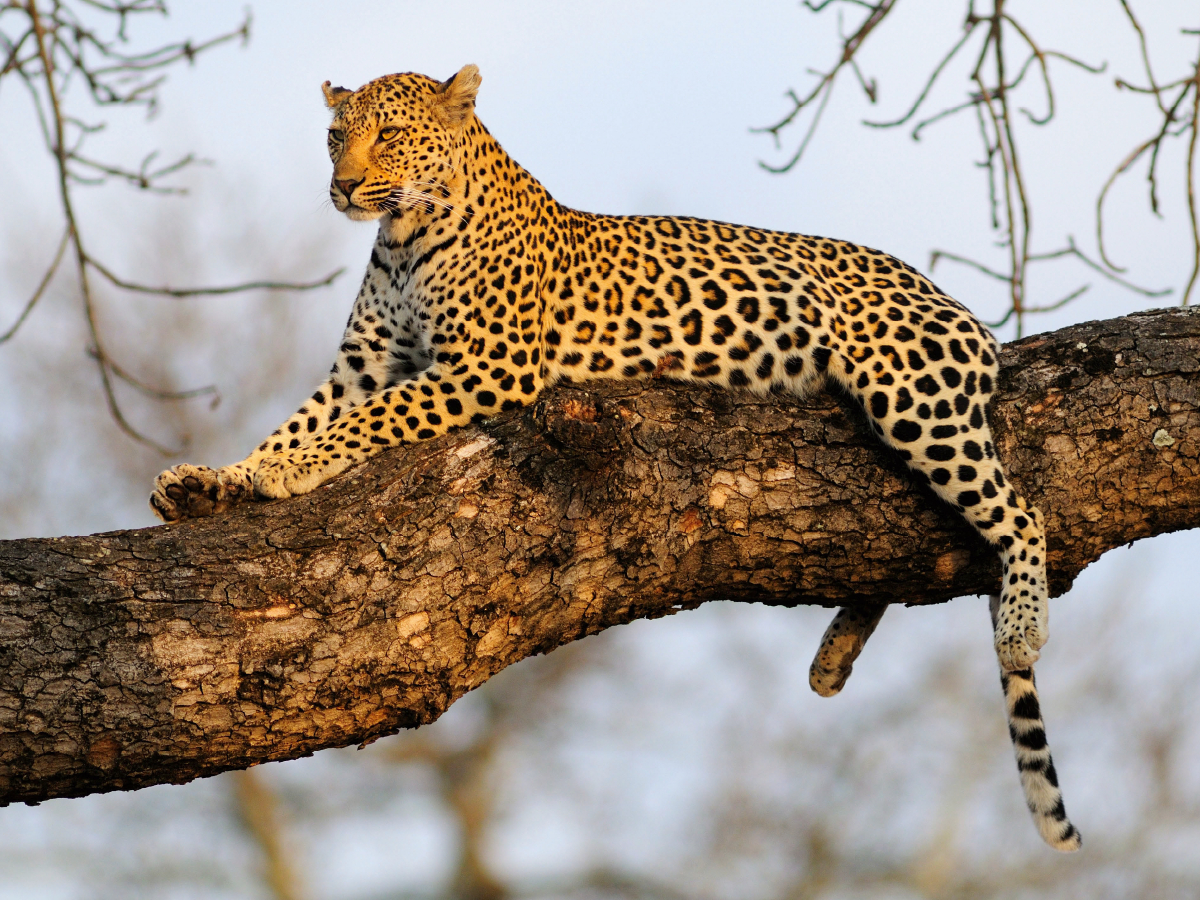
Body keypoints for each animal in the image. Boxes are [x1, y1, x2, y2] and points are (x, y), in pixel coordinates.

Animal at [150, 65, 1080, 854]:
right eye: (336, 135)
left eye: (391, 135)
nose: (343, 186)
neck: (406, 235)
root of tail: (962, 311)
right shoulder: (362, 363)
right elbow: (293, 422)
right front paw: (214, 483)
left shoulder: (485, 368)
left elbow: (365, 422)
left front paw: (284, 473)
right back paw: (836, 658)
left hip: (910, 393)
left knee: (1021, 513)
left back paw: (1022, 625)